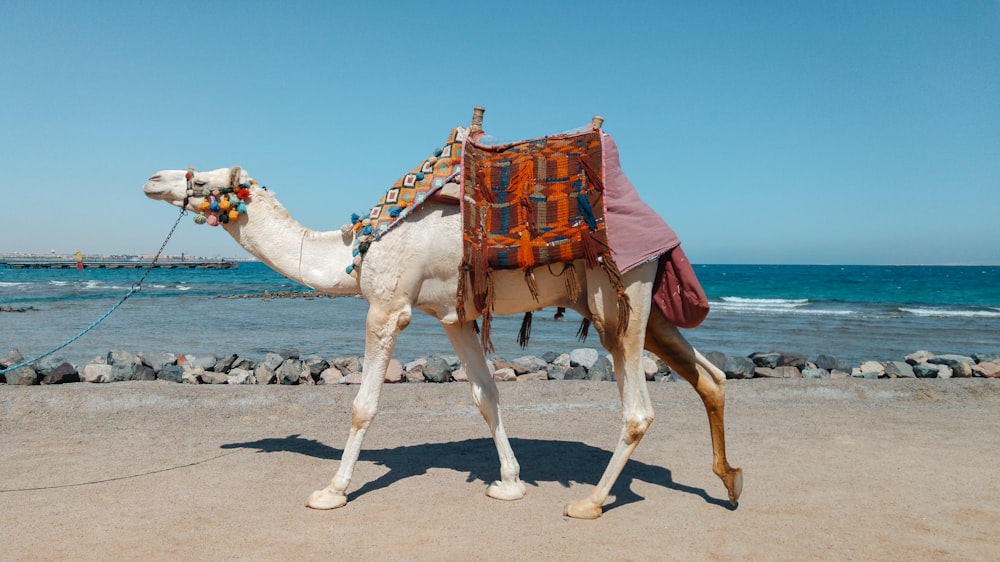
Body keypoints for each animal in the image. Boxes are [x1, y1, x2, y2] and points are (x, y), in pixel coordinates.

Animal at [143, 115, 744, 520]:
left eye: (204, 180)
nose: (153, 178)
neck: (355, 248)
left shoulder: (388, 308)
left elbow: (363, 406)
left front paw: (332, 491)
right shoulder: (453, 316)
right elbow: (485, 395)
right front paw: (509, 482)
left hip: (621, 298)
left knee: (639, 409)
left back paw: (592, 502)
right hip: (643, 302)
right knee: (710, 378)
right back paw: (730, 481)